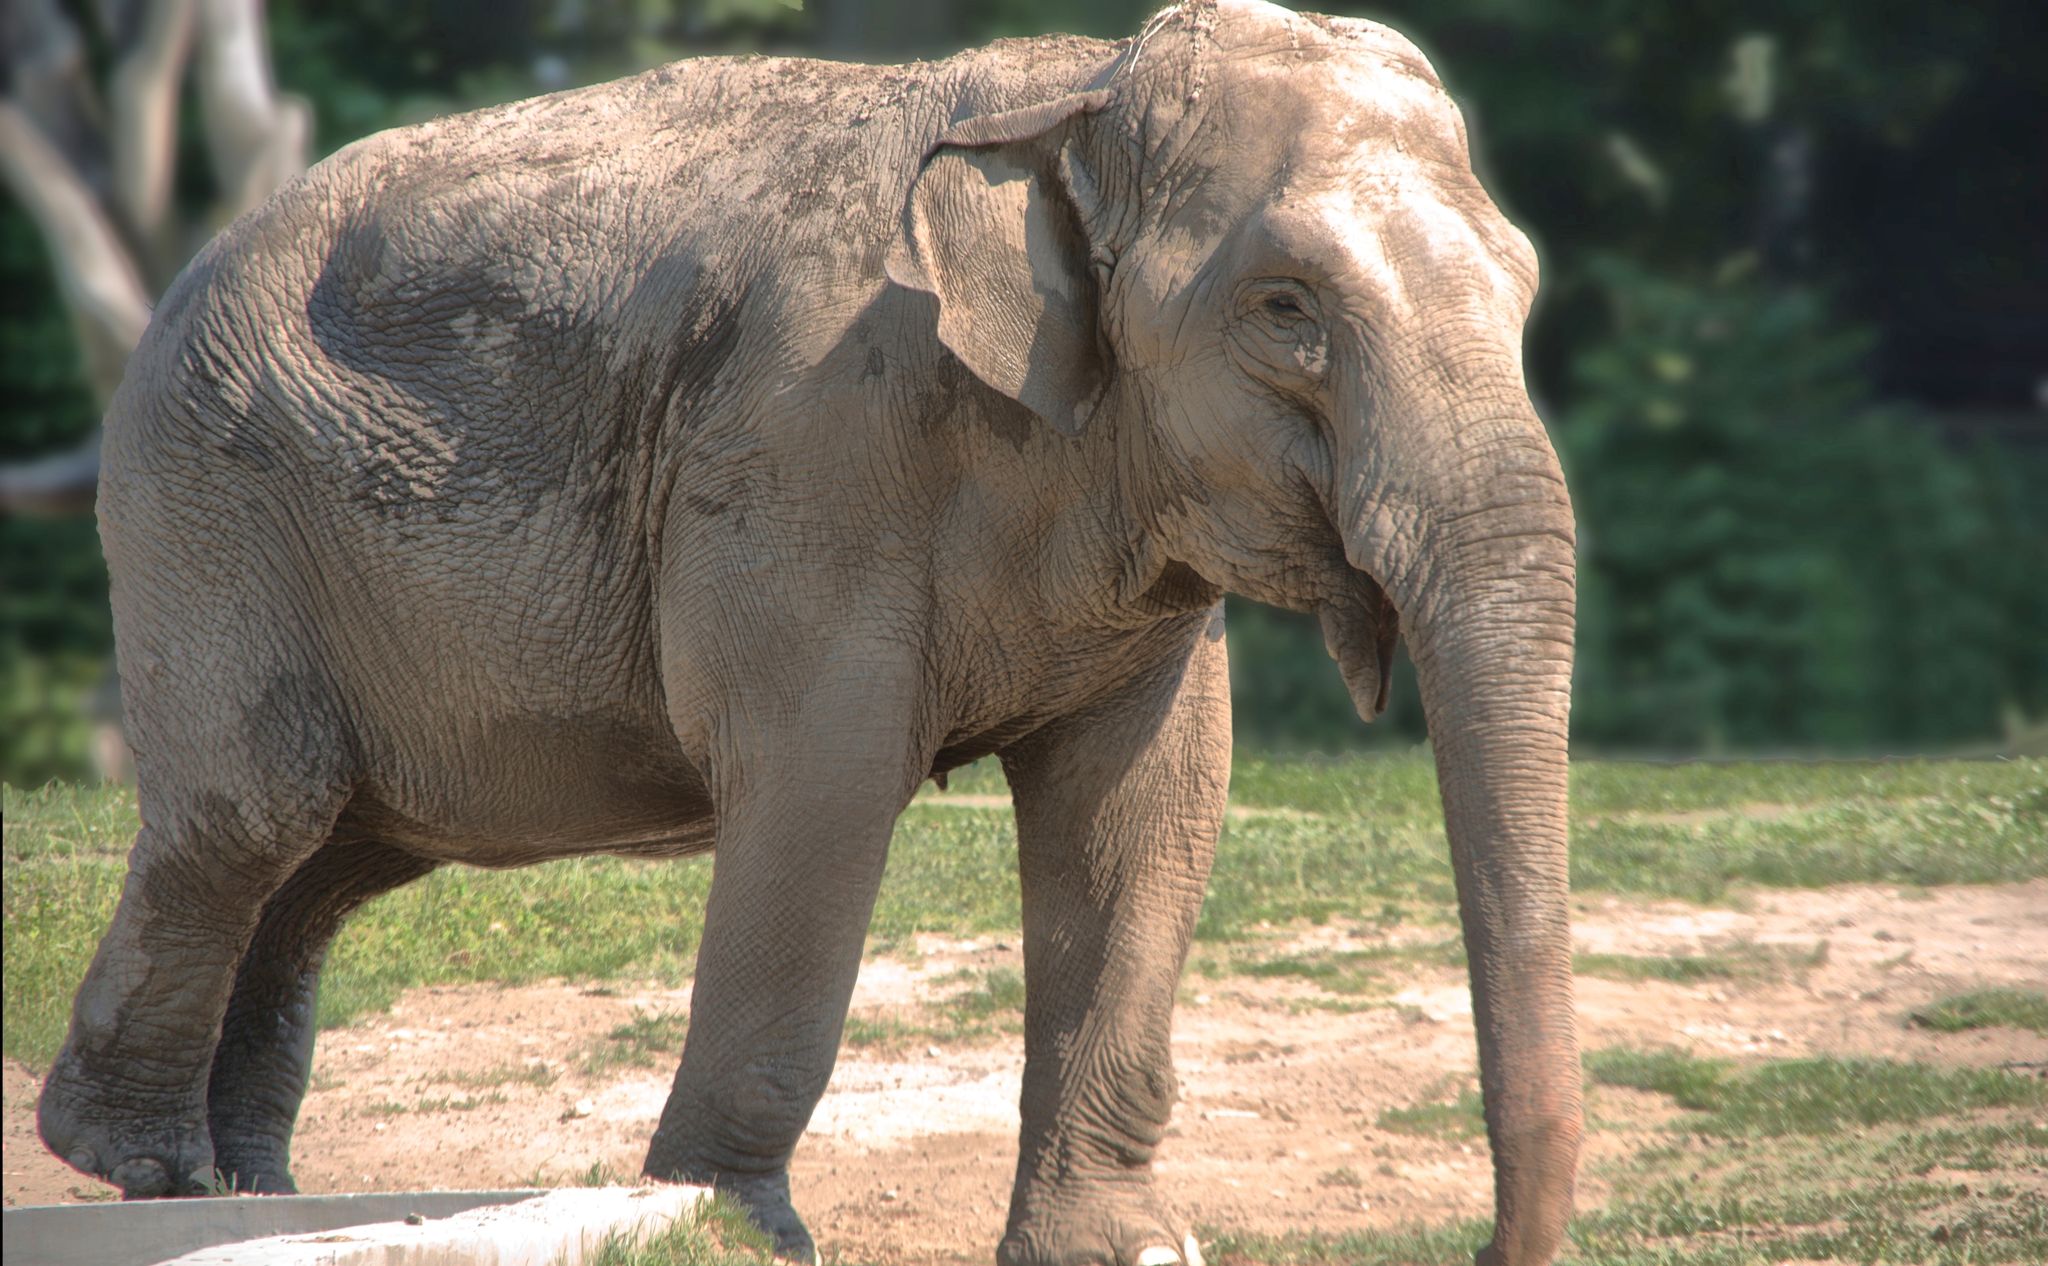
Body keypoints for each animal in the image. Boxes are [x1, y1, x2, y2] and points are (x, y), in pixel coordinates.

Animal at [38, 2, 1582, 1263]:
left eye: (1523, 281)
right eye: (1284, 307)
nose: (1487, 1244)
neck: (1071, 88)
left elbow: (1144, 806)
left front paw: (1123, 1249)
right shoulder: (808, 434)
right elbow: (821, 781)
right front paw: (736, 1230)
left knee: (329, 865)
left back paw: (244, 1188)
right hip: (210, 505)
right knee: (254, 814)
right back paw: (148, 1173)